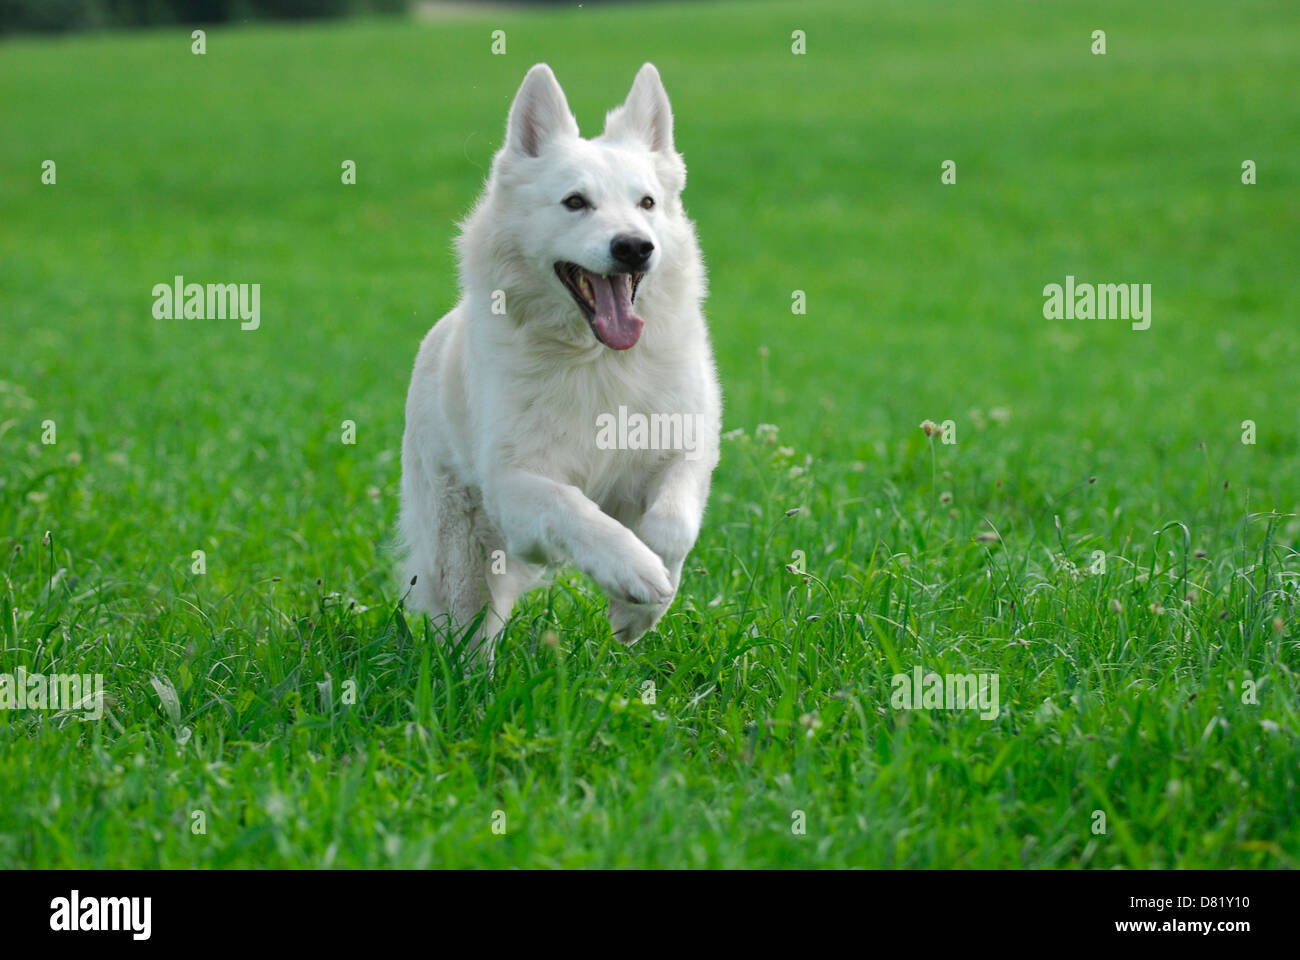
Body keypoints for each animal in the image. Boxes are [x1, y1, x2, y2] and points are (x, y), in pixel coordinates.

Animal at [397, 57, 722, 658]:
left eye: (646, 203)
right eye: (576, 202)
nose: (634, 246)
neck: (598, 360)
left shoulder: (684, 452)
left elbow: (671, 526)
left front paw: (640, 608)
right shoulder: (516, 483)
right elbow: (577, 512)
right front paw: (632, 571)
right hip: (464, 550)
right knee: (468, 629)